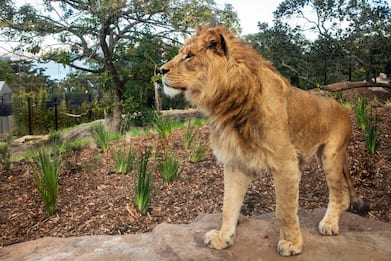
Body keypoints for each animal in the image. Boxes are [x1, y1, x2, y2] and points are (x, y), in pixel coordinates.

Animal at [159, 25, 368, 255]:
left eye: (189, 56)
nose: (160, 71)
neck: (227, 104)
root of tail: (342, 107)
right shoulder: (236, 162)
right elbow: (228, 205)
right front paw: (223, 238)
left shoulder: (286, 163)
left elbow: (284, 210)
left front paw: (292, 244)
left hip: (331, 156)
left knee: (339, 192)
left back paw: (329, 223)